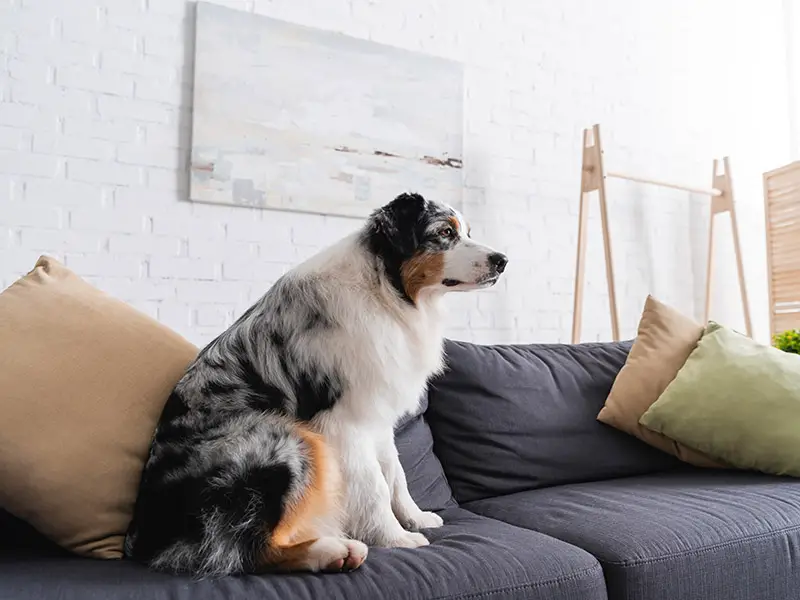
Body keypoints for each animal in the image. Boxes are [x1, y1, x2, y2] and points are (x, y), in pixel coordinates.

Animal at [124, 192, 506, 576]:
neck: (385, 292)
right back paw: (333, 552)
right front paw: (396, 538)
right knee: (243, 550)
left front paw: (416, 518)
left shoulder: (377, 412)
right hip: (283, 440)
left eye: (467, 231)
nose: (502, 260)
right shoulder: (344, 421)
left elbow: (395, 473)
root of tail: (144, 539)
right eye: (444, 232)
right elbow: (374, 486)